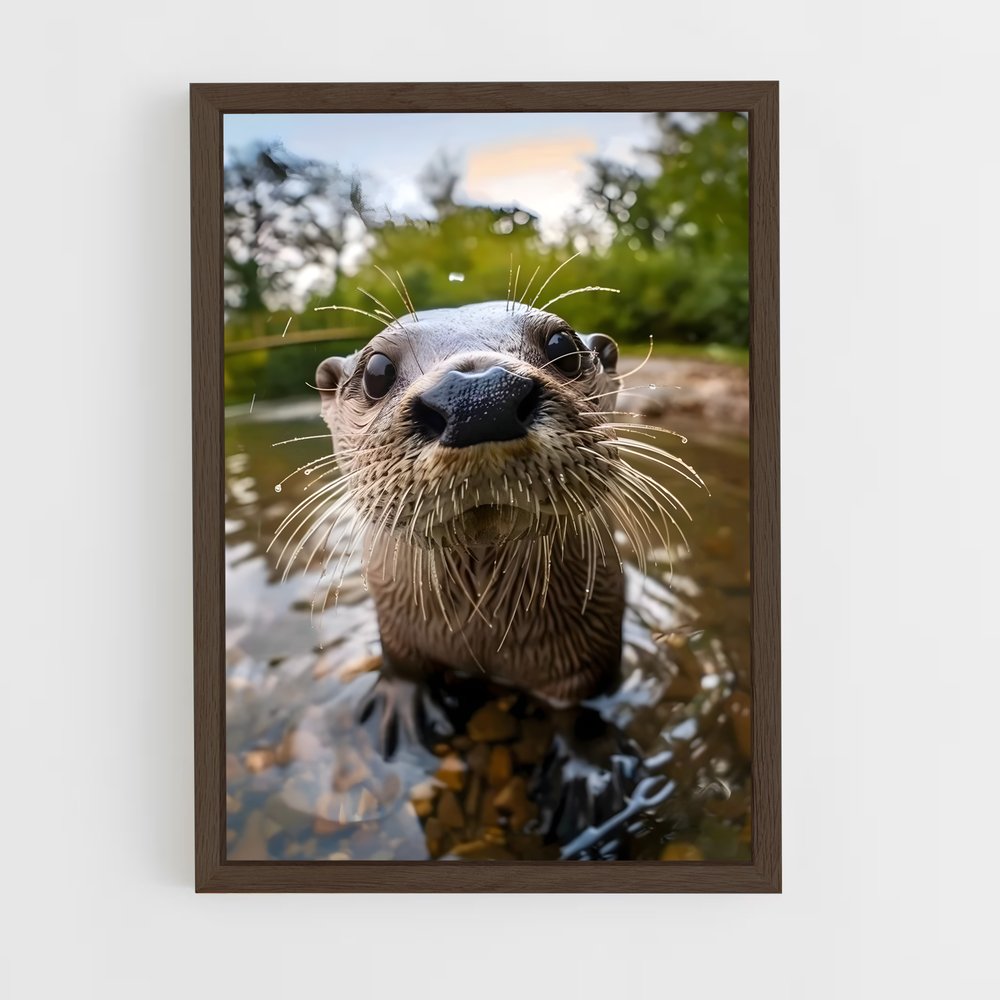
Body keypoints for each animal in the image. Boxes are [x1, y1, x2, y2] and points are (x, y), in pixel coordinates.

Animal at [308, 300, 688, 705]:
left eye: (562, 346)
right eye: (377, 372)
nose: (480, 397)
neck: (482, 633)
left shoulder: (586, 664)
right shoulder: (398, 639)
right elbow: (405, 673)